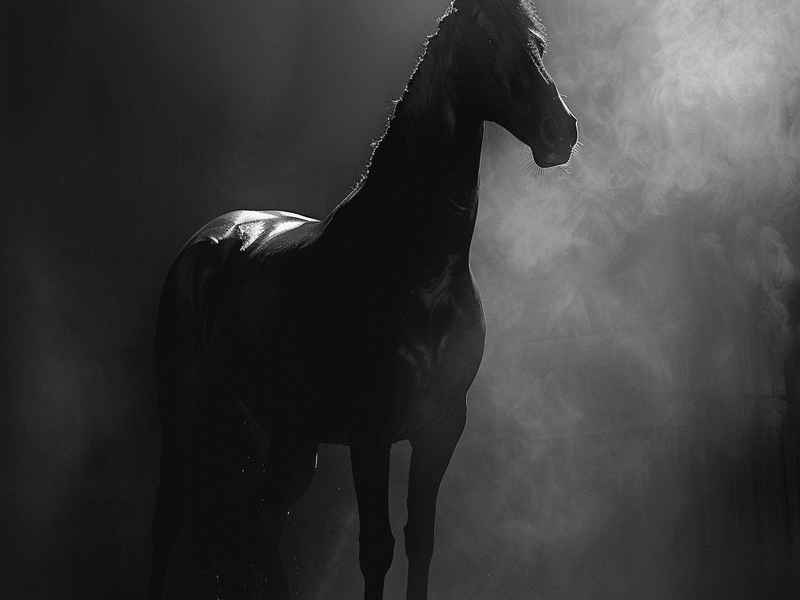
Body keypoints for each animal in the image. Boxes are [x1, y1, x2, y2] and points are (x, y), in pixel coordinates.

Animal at [149, 1, 577, 598]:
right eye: (489, 39)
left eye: (538, 43)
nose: (561, 130)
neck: (417, 271)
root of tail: (208, 240)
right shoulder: (370, 433)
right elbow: (376, 549)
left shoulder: (442, 424)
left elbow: (420, 541)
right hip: (183, 416)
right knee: (171, 522)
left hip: (290, 439)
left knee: (260, 521)